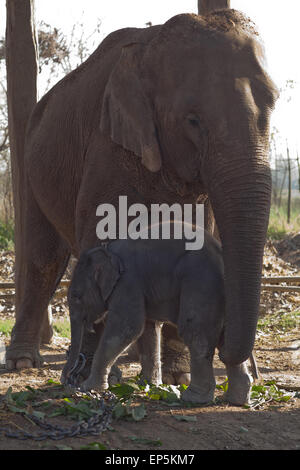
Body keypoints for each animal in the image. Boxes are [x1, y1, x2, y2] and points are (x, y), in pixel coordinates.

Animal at [4, 9, 278, 382]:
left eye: (272, 107)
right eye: (192, 120)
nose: (249, 369)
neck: (151, 47)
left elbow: (193, 240)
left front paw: (178, 378)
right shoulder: (107, 144)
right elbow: (100, 235)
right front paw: (88, 377)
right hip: (33, 166)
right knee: (42, 258)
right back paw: (23, 362)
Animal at [62, 237, 253, 406]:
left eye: (76, 296)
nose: (68, 382)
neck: (108, 250)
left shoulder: (127, 283)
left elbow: (128, 327)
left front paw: (88, 388)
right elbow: (148, 328)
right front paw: (149, 385)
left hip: (201, 285)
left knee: (196, 332)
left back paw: (193, 398)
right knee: (225, 337)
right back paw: (237, 400)